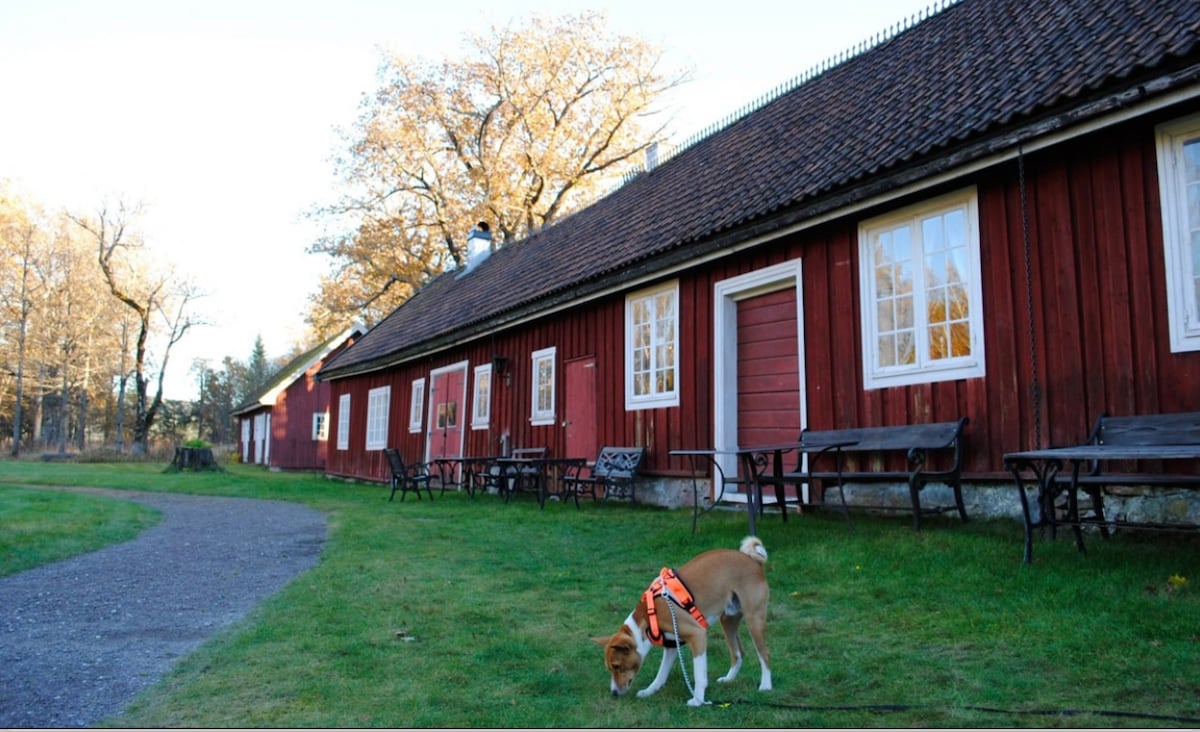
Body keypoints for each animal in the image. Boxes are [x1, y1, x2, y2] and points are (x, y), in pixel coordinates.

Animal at [592, 532, 772, 705]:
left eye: (616, 666)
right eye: (610, 668)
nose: (614, 693)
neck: (650, 617)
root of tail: (752, 560)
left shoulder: (698, 635)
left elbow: (699, 675)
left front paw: (698, 700)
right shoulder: (672, 645)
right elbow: (661, 675)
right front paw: (649, 691)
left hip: (753, 619)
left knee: (764, 654)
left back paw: (765, 686)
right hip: (728, 619)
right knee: (738, 653)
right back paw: (729, 679)